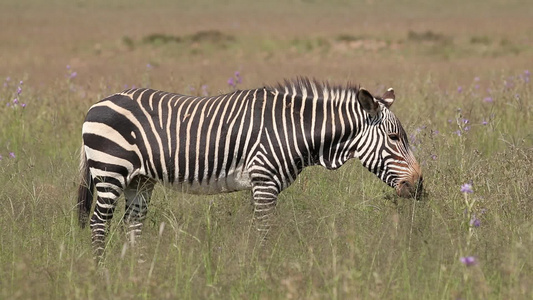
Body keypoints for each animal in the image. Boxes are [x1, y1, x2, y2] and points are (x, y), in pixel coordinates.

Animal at [77, 77, 422, 260]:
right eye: (394, 138)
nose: (419, 187)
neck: (292, 129)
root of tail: (98, 103)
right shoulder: (264, 181)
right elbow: (265, 231)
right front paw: (264, 270)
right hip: (110, 171)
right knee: (98, 222)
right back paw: (101, 270)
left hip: (140, 180)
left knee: (132, 224)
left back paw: (138, 270)